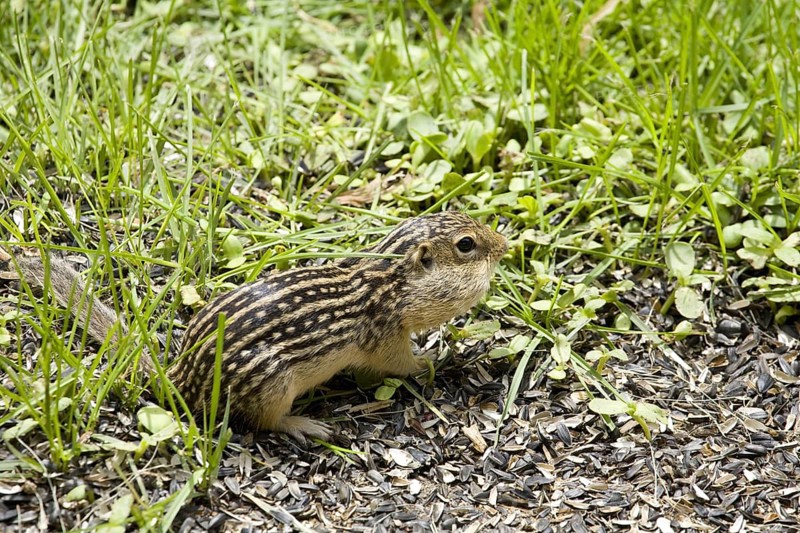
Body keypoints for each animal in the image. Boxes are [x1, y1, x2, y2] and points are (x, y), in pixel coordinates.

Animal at [11, 212, 508, 440]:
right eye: (467, 245)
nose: (505, 244)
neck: (384, 281)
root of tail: (180, 376)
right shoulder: (383, 337)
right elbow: (399, 365)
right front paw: (436, 357)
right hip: (272, 385)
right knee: (264, 422)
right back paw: (306, 425)